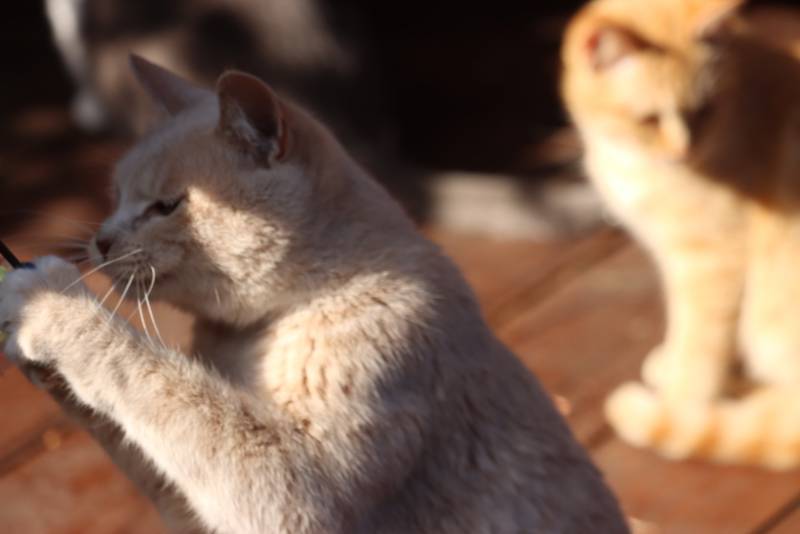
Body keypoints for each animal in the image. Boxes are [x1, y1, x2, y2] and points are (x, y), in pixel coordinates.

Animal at [0, 56, 624, 532]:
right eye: (114, 195)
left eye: (166, 205)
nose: (102, 240)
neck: (250, 335)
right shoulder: (198, 510)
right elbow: (142, 427)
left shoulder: (299, 490)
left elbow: (158, 383)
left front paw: (44, 300)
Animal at [560, 0, 800, 468]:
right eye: (650, 119)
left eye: (703, 111)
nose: (683, 151)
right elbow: (688, 329)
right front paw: (672, 363)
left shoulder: (710, 260)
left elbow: (700, 343)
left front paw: (679, 402)